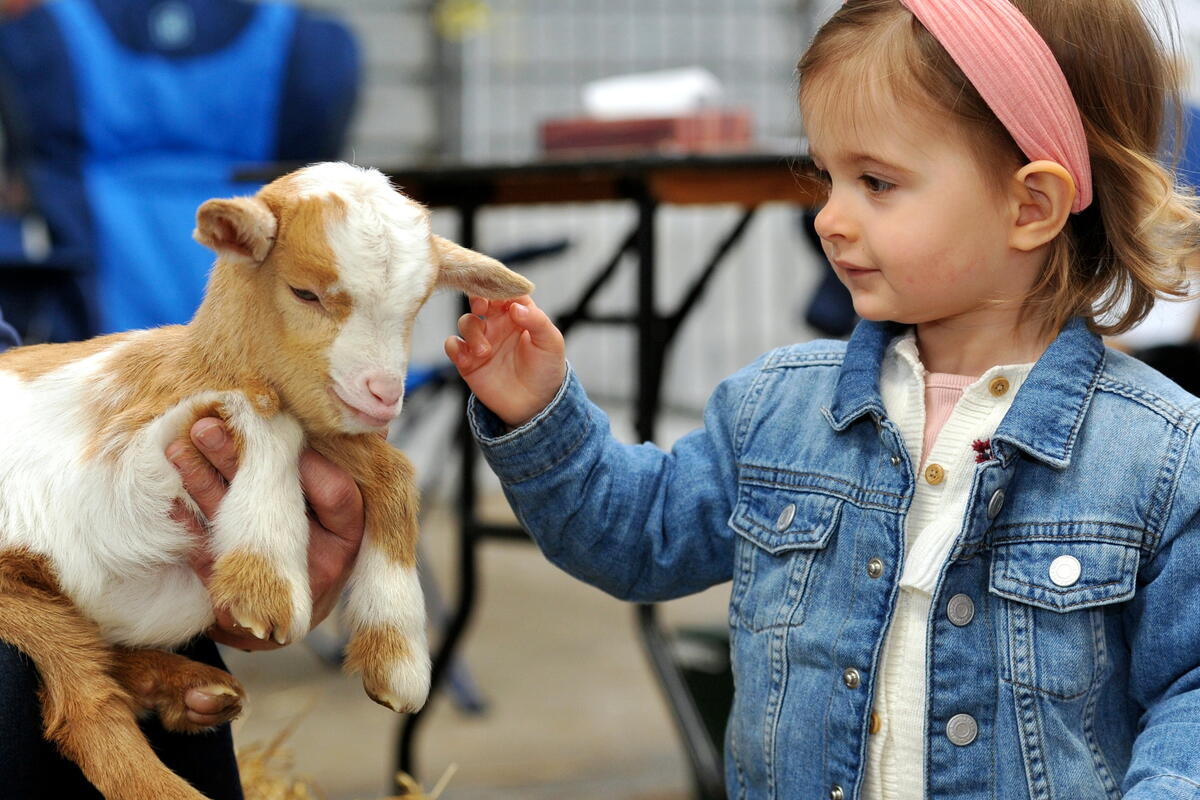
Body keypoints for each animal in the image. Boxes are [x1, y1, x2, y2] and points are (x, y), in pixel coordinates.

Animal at [0, 162, 533, 800]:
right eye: (304, 293)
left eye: (417, 306)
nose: (383, 395)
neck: (194, 363)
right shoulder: (115, 473)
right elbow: (266, 408)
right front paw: (267, 579)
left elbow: (396, 472)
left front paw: (397, 650)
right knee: (83, 703)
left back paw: (188, 689)